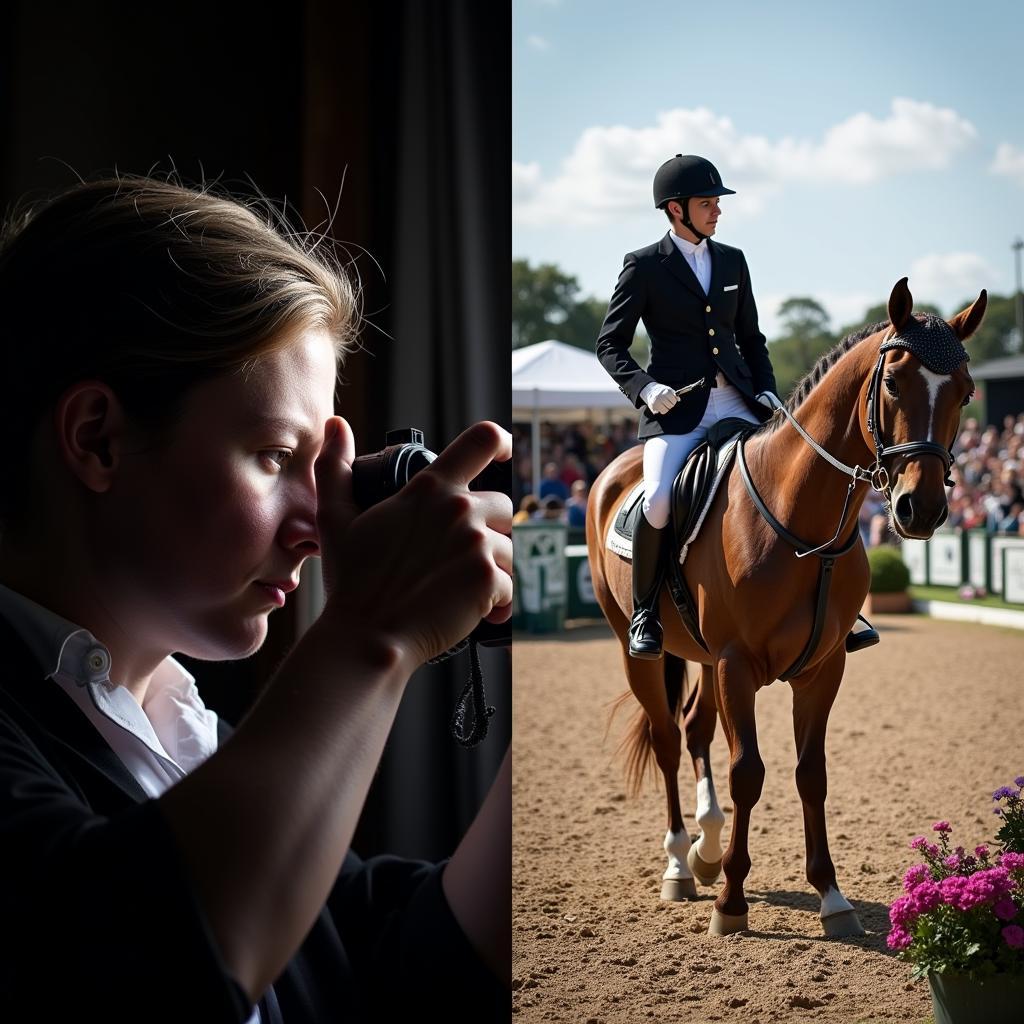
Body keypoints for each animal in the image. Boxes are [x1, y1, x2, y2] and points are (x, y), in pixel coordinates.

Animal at [589, 278, 987, 937]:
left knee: (695, 729)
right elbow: (748, 772)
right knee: (669, 738)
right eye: (893, 382)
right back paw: (680, 864)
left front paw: (831, 896)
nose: (921, 508)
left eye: (965, 391)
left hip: (703, 658)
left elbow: (811, 773)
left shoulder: (822, 669)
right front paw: (731, 903)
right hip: (636, 649)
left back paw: (707, 849)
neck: (802, 520)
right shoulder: (737, 664)